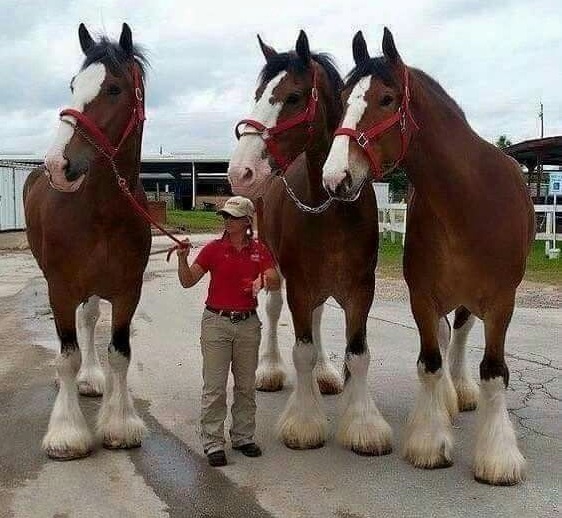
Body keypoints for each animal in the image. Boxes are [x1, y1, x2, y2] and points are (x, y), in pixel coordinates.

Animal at [23, 24, 151, 462]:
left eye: (113, 88)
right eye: (73, 85)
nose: (57, 166)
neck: (102, 212)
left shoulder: (128, 291)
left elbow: (120, 353)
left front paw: (119, 423)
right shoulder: (60, 289)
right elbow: (67, 356)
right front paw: (67, 433)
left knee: (91, 318)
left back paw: (92, 379)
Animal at [225, 32, 388, 458]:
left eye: (294, 97)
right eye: (258, 94)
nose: (240, 172)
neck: (332, 209)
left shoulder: (361, 289)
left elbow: (358, 355)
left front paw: (363, 425)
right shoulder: (298, 283)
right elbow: (301, 350)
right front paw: (304, 422)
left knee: (315, 319)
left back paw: (325, 375)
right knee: (273, 309)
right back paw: (269, 369)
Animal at [322, 27, 532, 484]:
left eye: (386, 99)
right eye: (343, 97)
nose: (335, 177)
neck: (469, 202)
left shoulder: (501, 302)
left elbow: (494, 373)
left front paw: (498, 457)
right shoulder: (421, 296)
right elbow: (430, 363)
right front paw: (430, 442)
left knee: (462, 334)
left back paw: (463, 392)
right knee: (445, 336)